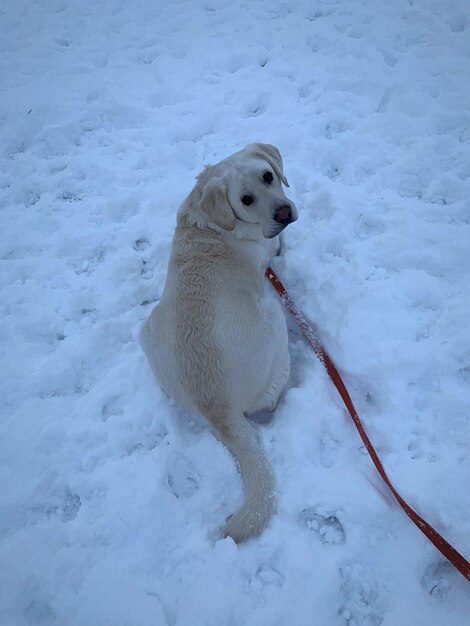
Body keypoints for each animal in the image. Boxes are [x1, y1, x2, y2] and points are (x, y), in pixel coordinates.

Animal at [140, 144, 300, 540]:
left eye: (268, 176)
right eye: (245, 200)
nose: (284, 213)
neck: (209, 219)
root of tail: (219, 410)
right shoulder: (268, 246)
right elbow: (276, 244)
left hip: (147, 328)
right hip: (273, 315)